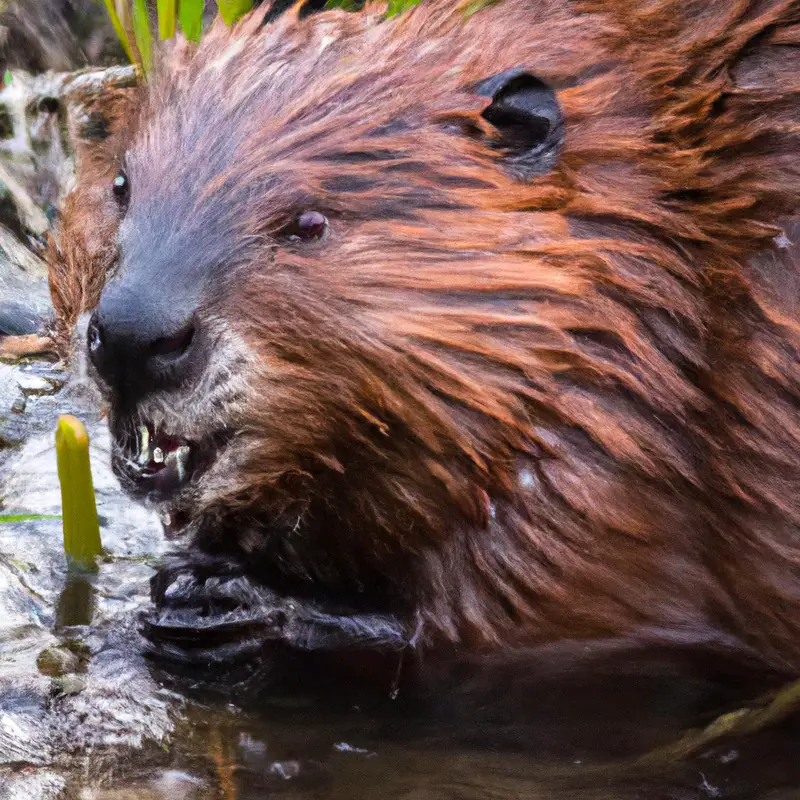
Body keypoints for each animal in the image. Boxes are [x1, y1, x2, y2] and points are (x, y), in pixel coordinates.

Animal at [47, 0, 800, 672]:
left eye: (309, 222)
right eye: (122, 184)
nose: (133, 336)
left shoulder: (605, 453)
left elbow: (502, 617)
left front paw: (218, 600)